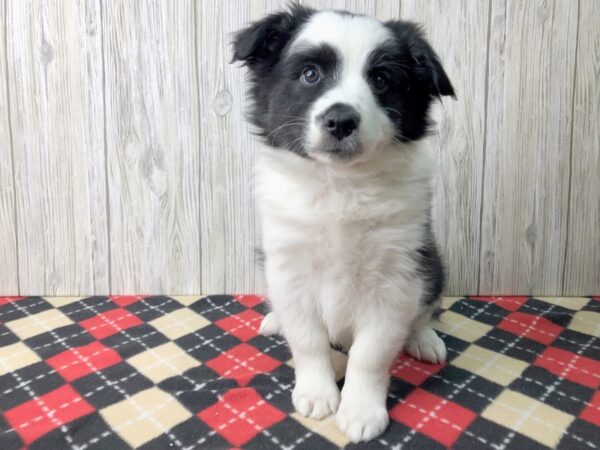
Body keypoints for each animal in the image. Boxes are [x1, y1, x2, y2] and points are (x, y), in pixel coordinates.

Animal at [232, 4, 452, 442]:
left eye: (381, 80)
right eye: (310, 74)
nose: (340, 121)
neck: (340, 185)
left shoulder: (396, 278)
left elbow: (371, 354)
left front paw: (361, 410)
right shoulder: (289, 269)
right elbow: (308, 340)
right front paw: (317, 393)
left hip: (433, 264)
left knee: (425, 309)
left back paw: (423, 338)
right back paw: (275, 319)